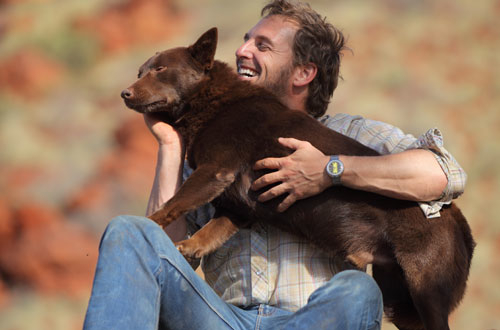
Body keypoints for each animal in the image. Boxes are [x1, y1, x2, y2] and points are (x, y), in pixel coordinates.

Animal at [122, 29, 476, 330]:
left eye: (160, 69)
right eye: (140, 72)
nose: (124, 93)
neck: (210, 101)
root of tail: (458, 221)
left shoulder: (214, 170)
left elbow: (173, 204)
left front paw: (146, 224)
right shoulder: (237, 209)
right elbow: (209, 231)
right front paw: (188, 248)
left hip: (425, 288)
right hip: (398, 298)